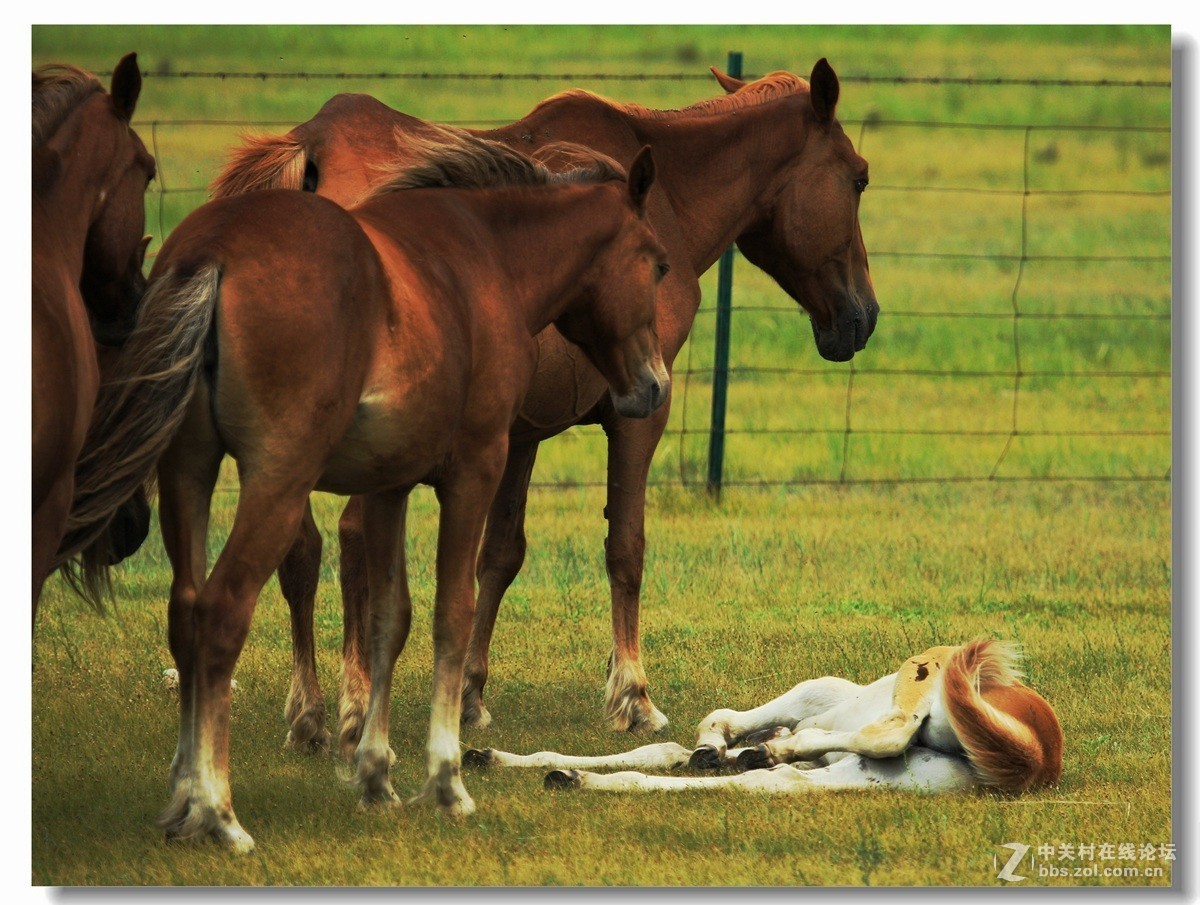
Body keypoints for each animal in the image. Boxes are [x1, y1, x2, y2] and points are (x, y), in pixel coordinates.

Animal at [65, 130, 672, 849]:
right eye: (658, 265)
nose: (655, 386)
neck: (484, 260)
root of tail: (214, 252)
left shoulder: (390, 486)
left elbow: (390, 619)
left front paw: (376, 775)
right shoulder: (475, 468)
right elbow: (452, 612)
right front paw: (446, 780)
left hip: (188, 471)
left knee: (184, 613)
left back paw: (184, 798)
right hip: (278, 481)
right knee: (220, 612)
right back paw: (218, 811)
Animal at [211, 54, 878, 748]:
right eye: (859, 179)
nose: (863, 317)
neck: (666, 197)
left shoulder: (521, 432)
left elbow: (500, 555)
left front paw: (471, 694)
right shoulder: (639, 413)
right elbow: (626, 548)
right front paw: (632, 694)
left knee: (301, 552)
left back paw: (310, 712)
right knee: (350, 543)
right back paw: (354, 704)